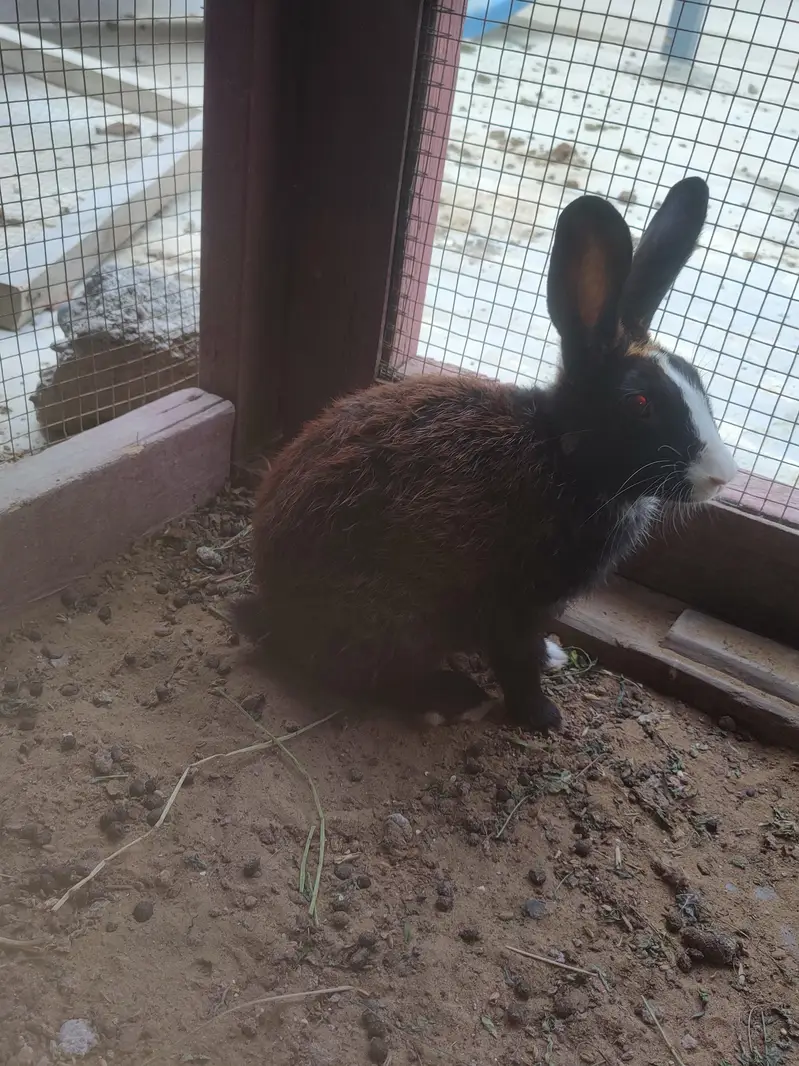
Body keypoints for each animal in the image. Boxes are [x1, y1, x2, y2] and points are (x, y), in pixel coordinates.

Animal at [234, 176, 737, 734]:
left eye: (696, 379)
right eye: (640, 404)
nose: (723, 476)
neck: (562, 454)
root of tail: (275, 608)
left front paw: (551, 658)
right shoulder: (510, 600)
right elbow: (514, 659)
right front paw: (542, 716)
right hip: (389, 617)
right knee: (356, 672)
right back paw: (453, 698)